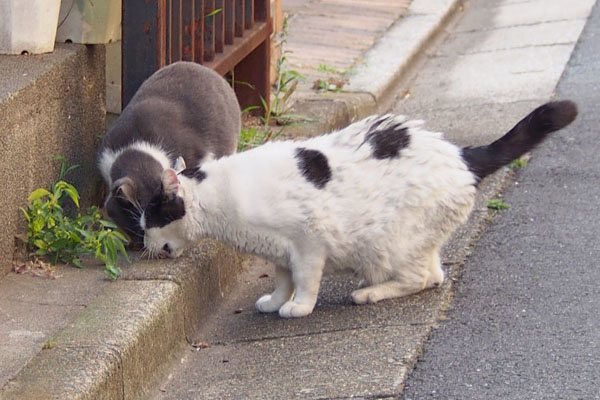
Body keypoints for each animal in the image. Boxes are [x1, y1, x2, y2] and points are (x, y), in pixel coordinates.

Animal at [139, 101, 576, 318]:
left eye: (150, 218)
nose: (141, 240)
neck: (223, 198)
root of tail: (462, 155)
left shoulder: (308, 243)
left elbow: (305, 279)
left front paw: (298, 308)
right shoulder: (279, 251)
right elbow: (282, 278)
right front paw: (276, 301)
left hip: (392, 244)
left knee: (422, 277)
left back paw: (368, 293)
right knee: (435, 274)